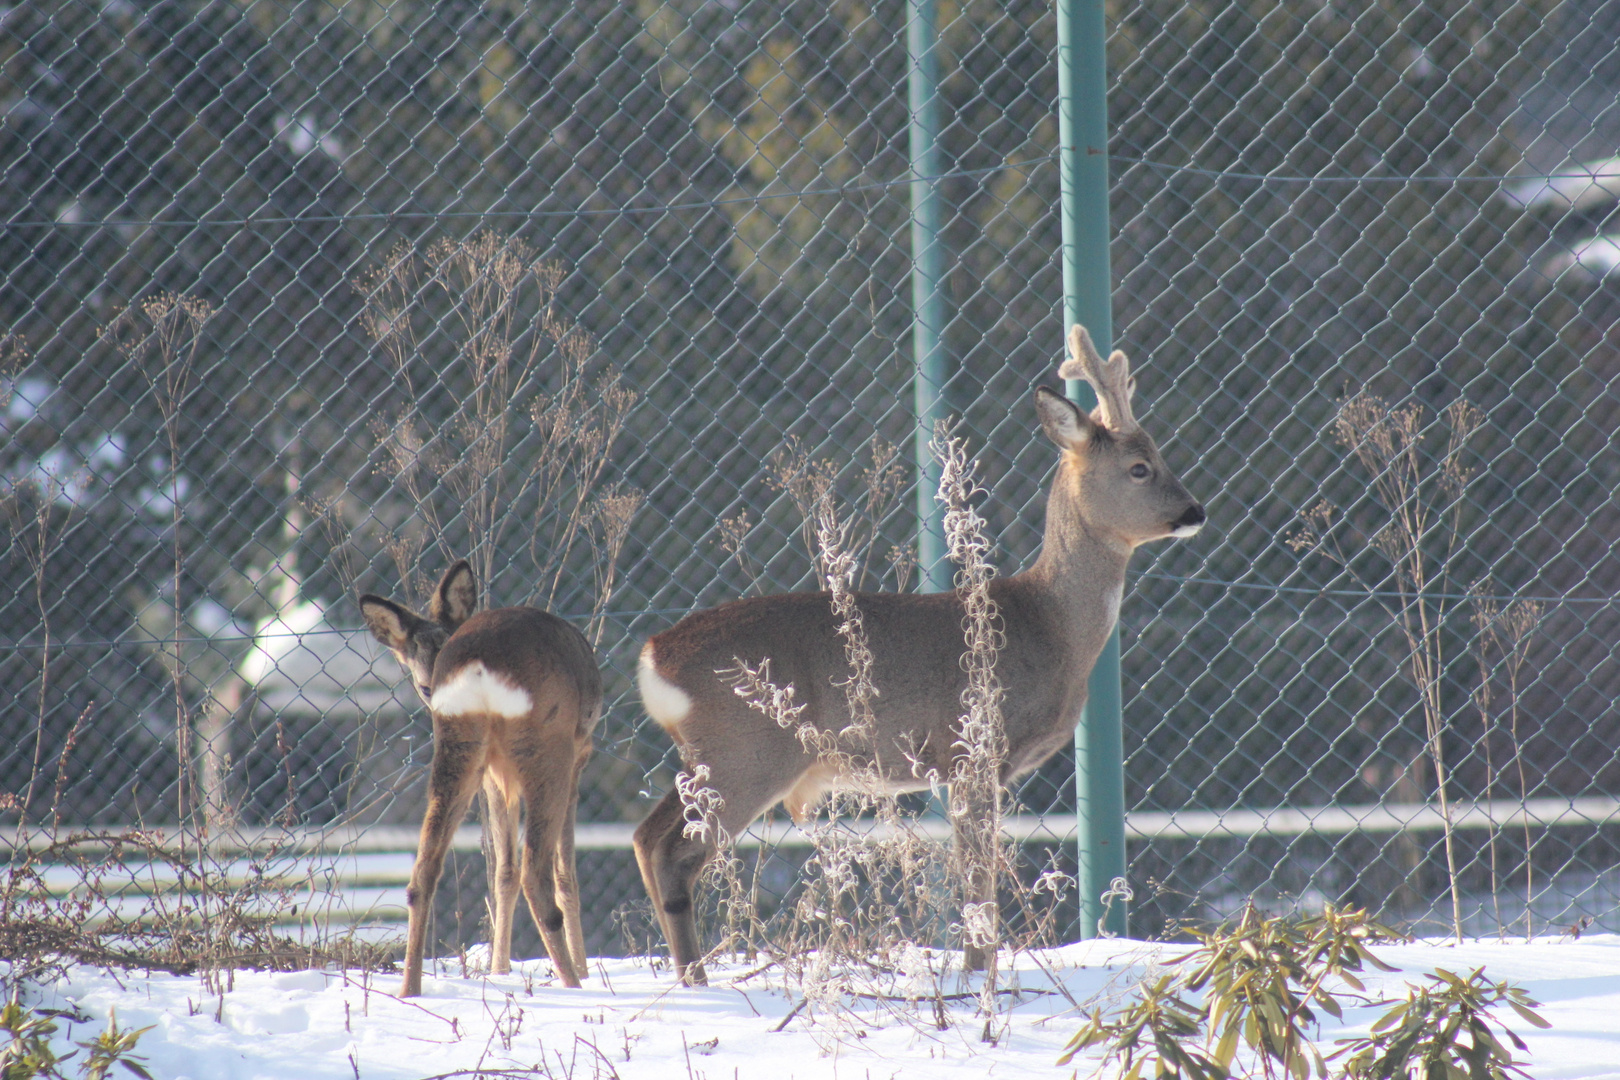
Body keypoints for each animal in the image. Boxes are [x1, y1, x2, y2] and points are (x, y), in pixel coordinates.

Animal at [361, 563, 602, 1003]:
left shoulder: (494, 775)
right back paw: (576, 987)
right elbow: (565, 873)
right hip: (548, 744)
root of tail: (477, 665)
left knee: (423, 873)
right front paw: (582, 968)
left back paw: (410, 989)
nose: (429, 687)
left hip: (459, 747)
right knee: (536, 873)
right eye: (420, 681)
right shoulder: (581, 753)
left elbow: (502, 871)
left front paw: (499, 969)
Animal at [631, 325, 1205, 984]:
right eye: (1140, 467)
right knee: (677, 852)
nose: (1195, 512)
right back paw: (696, 979)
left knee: (646, 837)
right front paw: (977, 971)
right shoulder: (973, 749)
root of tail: (653, 657)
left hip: (709, 754)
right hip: (748, 749)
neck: (1050, 624)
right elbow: (977, 878)